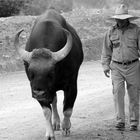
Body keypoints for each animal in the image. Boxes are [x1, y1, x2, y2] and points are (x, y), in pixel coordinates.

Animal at [14, 8, 83, 139]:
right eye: (30, 71)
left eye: (51, 72)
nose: (38, 93)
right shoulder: (39, 90)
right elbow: (47, 111)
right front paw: (50, 134)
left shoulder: (72, 85)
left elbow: (67, 109)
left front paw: (66, 127)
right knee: (54, 101)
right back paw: (55, 122)